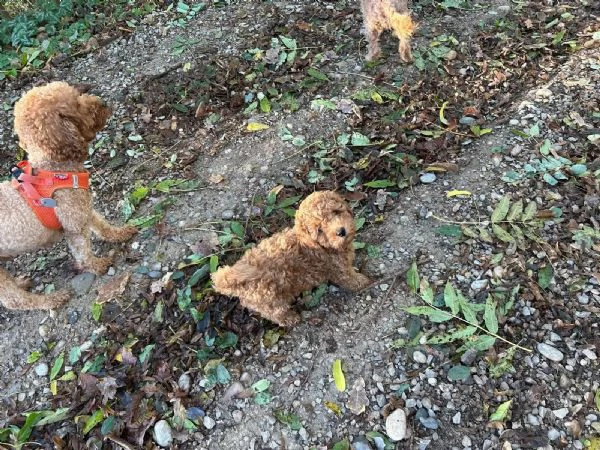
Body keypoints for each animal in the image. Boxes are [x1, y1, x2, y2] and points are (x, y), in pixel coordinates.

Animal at [0, 81, 137, 312]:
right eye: (75, 105)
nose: (103, 102)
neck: (53, 169)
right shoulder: (74, 225)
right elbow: (83, 253)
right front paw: (98, 265)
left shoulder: (83, 209)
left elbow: (102, 225)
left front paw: (120, 233)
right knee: (15, 300)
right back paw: (52, 299)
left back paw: (22, 282)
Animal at [211, 191, 370, 326]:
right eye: (319, 230)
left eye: (336, 212)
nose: (341, 231)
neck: (318, 246)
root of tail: (230, 279)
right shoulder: (338, 269)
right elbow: (351, 280)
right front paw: (364, 281)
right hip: (270, 300)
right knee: (275, 313)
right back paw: (290, 319)